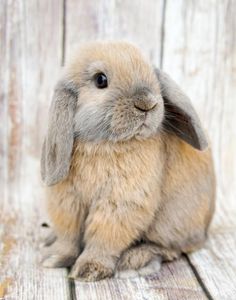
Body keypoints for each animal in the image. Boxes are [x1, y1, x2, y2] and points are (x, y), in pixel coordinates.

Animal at [40, 41, 216, 282]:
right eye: (100, 80)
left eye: (151, 73)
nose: (147, 103)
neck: (105, 143)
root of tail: (206, 228)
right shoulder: (68, 200)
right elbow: (68, 235)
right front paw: (54, 257)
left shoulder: (120, 202)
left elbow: (105, 236)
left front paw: (89, 270)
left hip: (171, 222)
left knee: (172, 248)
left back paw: (136, 261)